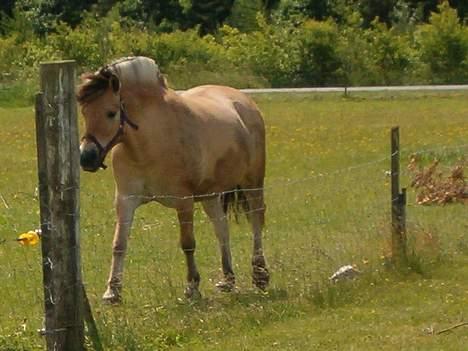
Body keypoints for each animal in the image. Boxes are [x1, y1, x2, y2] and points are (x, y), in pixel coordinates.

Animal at [76, 56, 266, 304]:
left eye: (111, 113)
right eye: (85, 113)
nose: (86, 158)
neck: (149, 142)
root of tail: (244, 101)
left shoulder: (184, 201)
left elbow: (188, 244)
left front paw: (192, 288)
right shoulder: (125, 200)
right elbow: (119, 244)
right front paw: (112, 291)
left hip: (253, 184)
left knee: (256, 222)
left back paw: (260, 275)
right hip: (211, 195)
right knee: (221, 229)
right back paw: (227, 280)